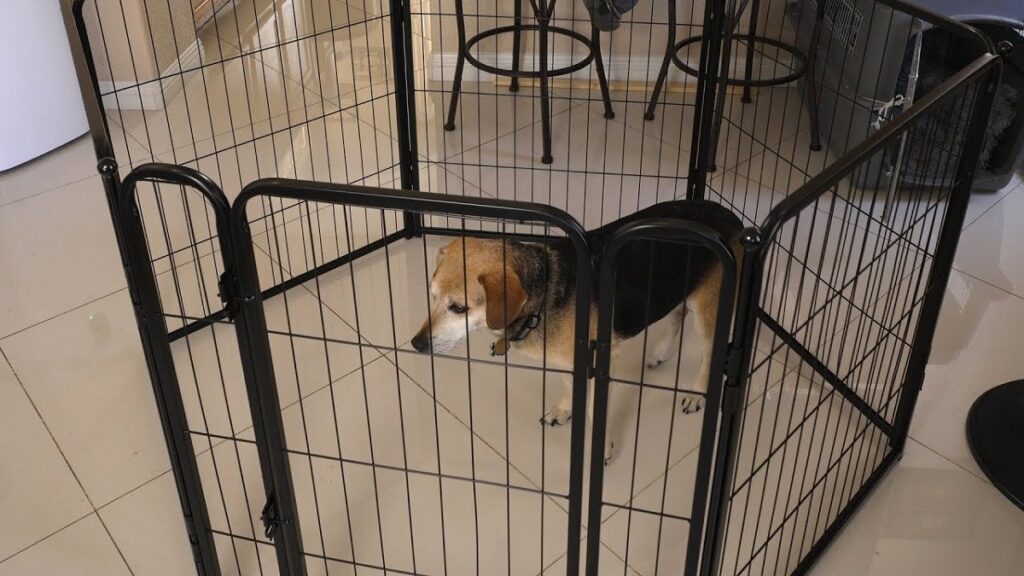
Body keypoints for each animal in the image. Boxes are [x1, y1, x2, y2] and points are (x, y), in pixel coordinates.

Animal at [409, 199, 745, 459]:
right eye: (432, 295)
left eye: (459, 308)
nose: (416, 344)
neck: (541, 296)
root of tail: (729, 214)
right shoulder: (564, 358)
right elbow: (568, 384)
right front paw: (564, 410)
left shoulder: (600, 360)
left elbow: (596, 409)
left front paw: (602, 448)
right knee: (677, 316)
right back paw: (660, 353)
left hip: (709, 305)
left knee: (709, 352)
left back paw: (697, 394)